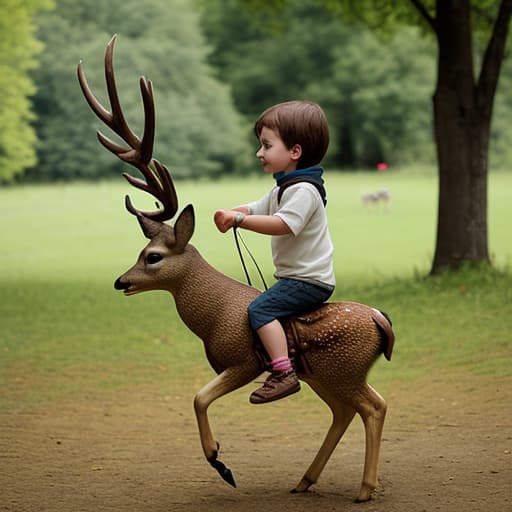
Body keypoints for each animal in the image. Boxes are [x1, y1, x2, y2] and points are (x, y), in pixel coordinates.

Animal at [77, 37, 396, 504]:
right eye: (139, 251)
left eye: (152, 256)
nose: (122, 281)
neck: (211, 318)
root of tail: (380, 320)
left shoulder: (243, 358)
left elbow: (198, 397)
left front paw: (220, 462)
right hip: (328, 372)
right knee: (346, 411)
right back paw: (305, 480)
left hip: (344, 366)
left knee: (373, 406)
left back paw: (364, 489)